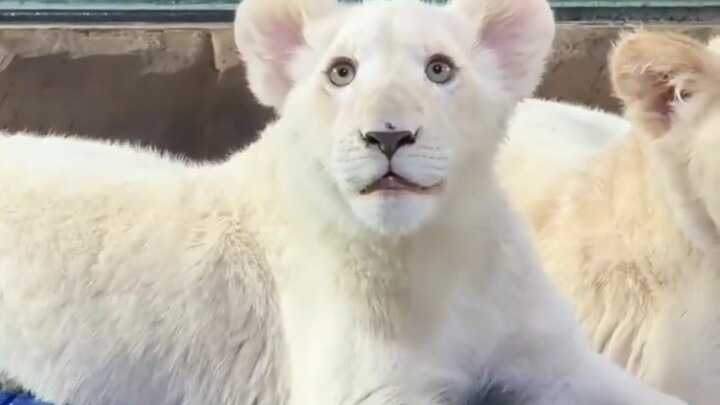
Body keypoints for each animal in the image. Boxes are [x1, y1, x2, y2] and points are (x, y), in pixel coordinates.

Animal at [0, 1, 685, 405]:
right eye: (341, 72)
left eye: (439, 69)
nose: (388, 136)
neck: (439, 257)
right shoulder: (366, 391)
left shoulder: (553, 357)